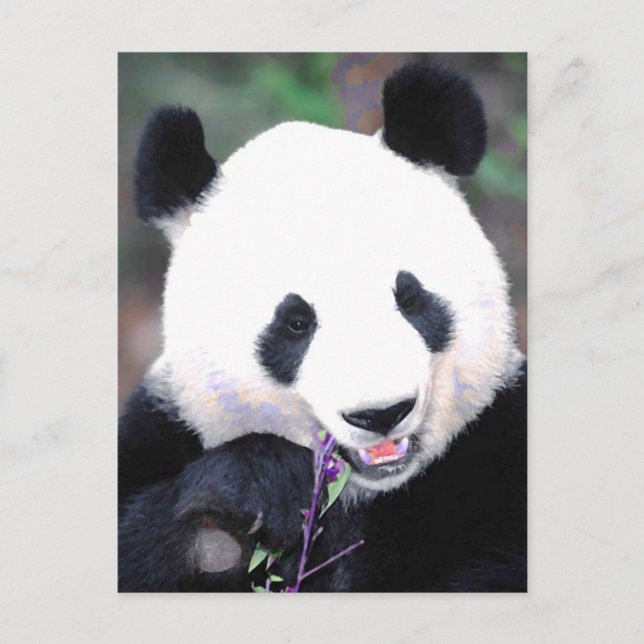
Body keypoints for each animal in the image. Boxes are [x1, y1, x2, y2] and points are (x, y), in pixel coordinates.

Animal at [118, 62, 527, 592]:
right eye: (295, 323)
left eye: (410, 298)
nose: (381, 414)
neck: (364, 493)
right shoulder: (160, 428)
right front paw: (256, 488)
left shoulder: (496, 445)